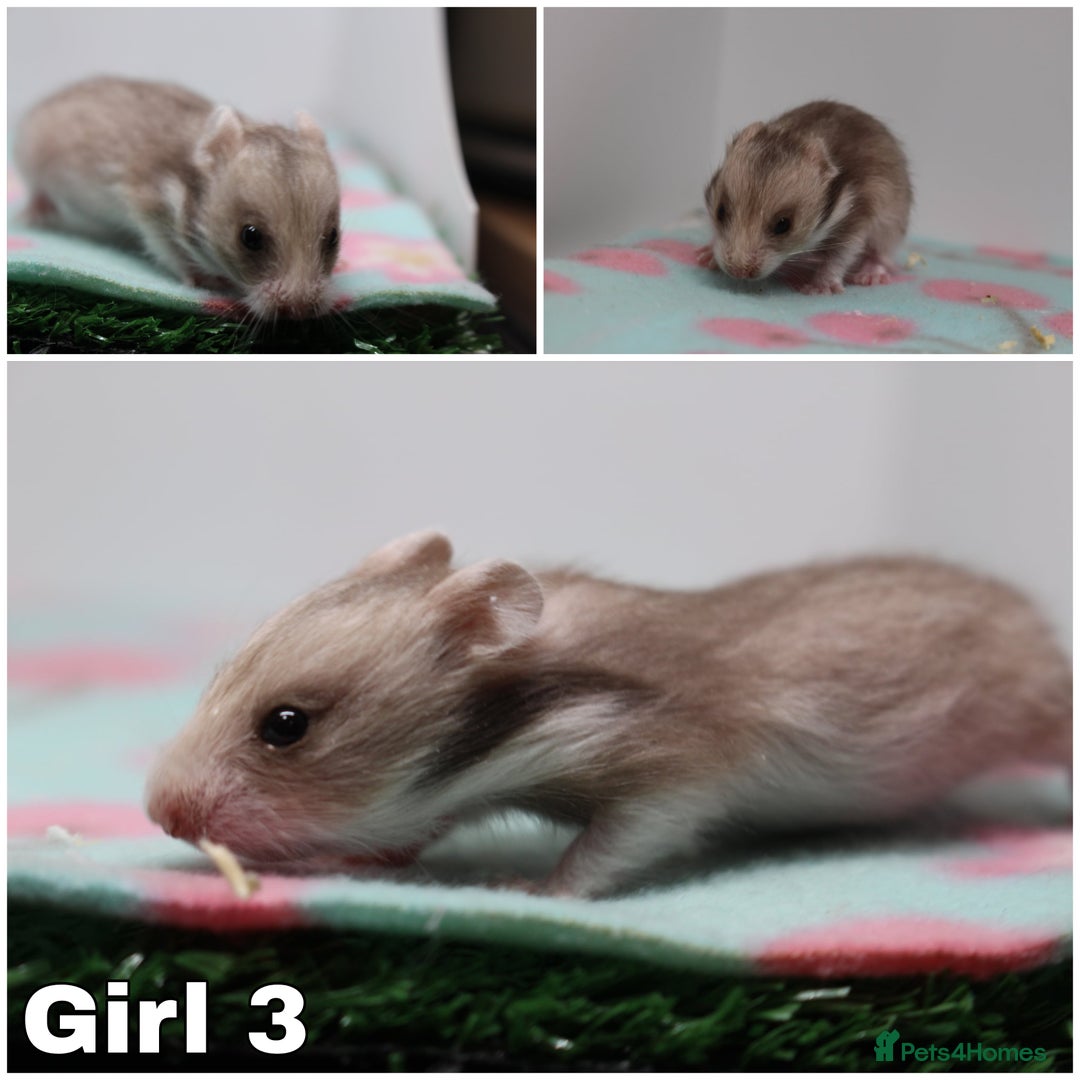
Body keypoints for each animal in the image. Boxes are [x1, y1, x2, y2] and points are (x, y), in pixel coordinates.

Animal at [15, 76, 341, 320]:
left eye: (334, 237)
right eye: (250, 237)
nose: (299, 311)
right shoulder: (148, 208)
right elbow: (172, 252)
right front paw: (209, 281)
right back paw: (34, 216)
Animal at [145, 531, 1070, 899]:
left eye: (286, 725)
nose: (158, 814)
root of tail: (1041, 627)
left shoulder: (671, 776)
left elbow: (613, 846)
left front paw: (528, 889)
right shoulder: (432, 802)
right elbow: (398, 840)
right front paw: (335, 864)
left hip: (1039, 712)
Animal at [704, 101, 913, 295]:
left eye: (783, 225)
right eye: (720, 211)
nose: (737, 272)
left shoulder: (855, 221)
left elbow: (839, 256)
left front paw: (819, 289)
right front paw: (705, 256)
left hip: (892, 222)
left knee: (881, 253)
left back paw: (870, 275)